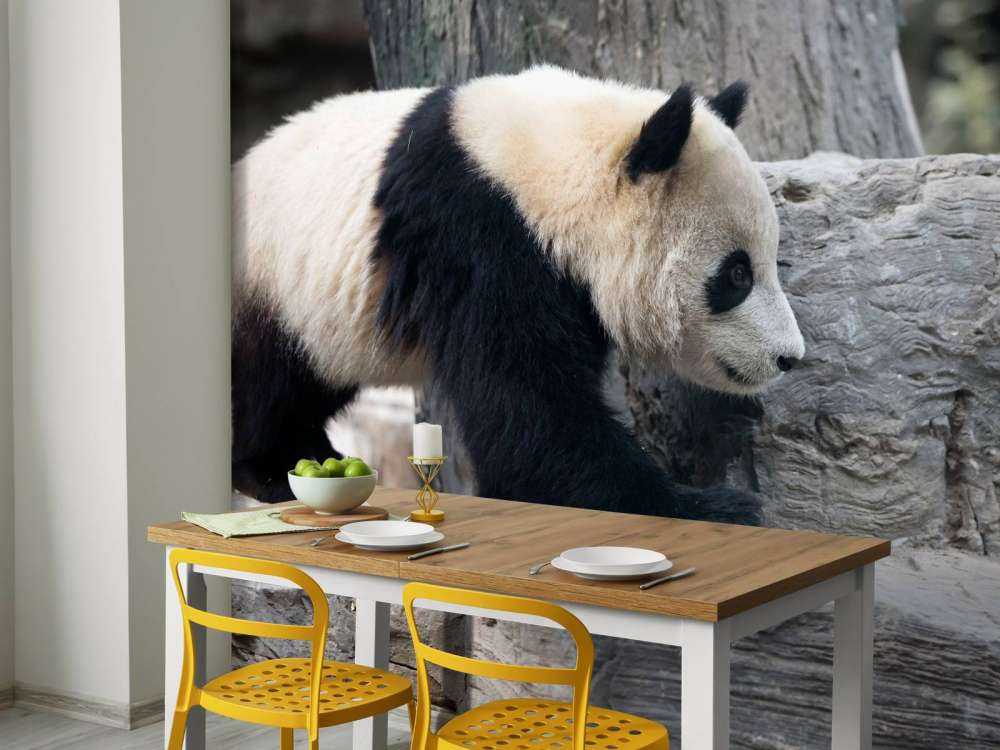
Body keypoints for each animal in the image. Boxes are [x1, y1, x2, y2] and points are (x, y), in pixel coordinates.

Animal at [232, 66, 805, 524]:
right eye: (736, 274)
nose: (789, 358)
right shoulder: (479, 240)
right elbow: (528, 416)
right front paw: (716, 507)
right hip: (273, 280)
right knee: (265, 380)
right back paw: (272, 468)